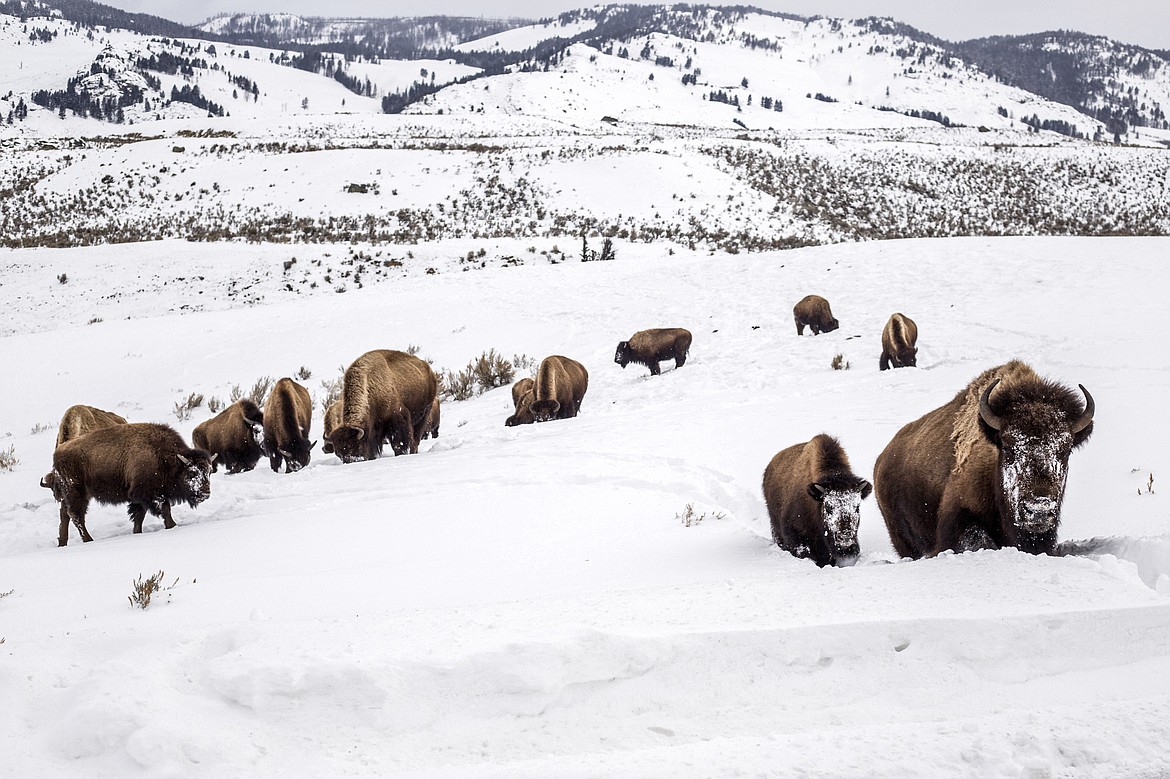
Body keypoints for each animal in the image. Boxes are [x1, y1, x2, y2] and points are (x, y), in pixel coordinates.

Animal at [41, 421, 216, 542]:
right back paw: (88, 540)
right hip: (77, 493)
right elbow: (165, 508)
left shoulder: (139, 497)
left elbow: (139, 515)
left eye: (209, 472)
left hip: (73, 495)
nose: (205, 492)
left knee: (65, 515)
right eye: (192, 472)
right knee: (76, 515)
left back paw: (63, 542)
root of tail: (58, 453)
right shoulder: (147, 493)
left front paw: (137, 532)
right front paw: (172, 526)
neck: (164, 456)